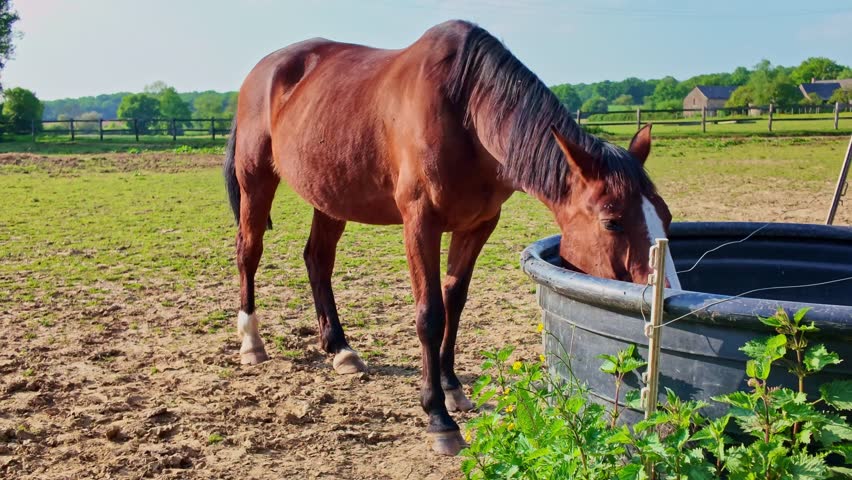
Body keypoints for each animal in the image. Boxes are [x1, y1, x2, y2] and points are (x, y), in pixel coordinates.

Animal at [223, 20, 680, 455]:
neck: (465, 108)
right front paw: (439, 417)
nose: (666, 297)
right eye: (612, 222)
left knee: (318, 259)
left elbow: (454, 303)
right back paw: (251, 342)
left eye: (667, 216)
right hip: (256, 180)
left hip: (331, 196)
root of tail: (263, 71)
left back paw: (340, 348)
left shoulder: (478, 225)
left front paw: (452, 387)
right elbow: (430, 314)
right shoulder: (419, 223)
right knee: (250, 251)